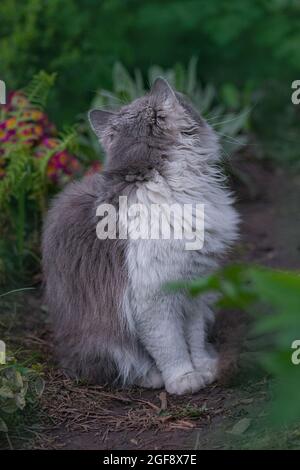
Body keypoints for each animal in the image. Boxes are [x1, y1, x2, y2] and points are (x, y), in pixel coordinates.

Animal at [42, 79, 239, 394]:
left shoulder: (196, 287)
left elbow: (194, 338)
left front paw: (205, 367)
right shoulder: (153, 298)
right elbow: (171, 346)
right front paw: (184, 379)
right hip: (103, 338)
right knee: (117, 363)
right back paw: (151, 377)